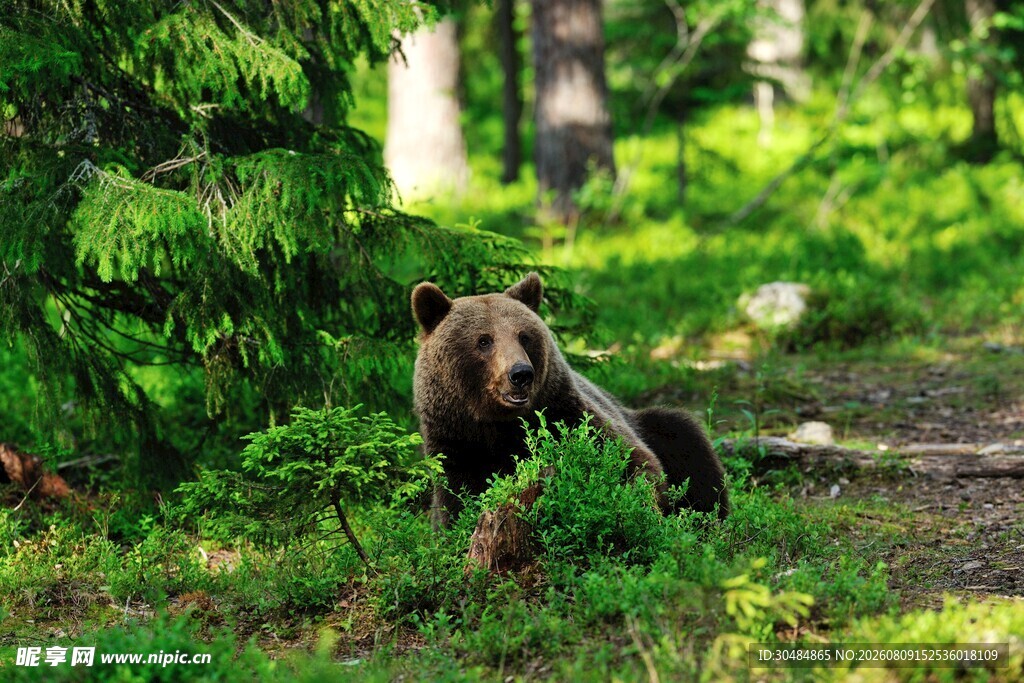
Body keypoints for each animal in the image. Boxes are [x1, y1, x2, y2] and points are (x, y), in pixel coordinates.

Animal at [411, 272, 729, 527]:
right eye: (484, 340)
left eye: (524, 336)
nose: (521, 373)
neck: (496, 425)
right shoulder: (456, 444)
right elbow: (456, 504)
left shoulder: (566, 414)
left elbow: (634, 461)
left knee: (687, 442)